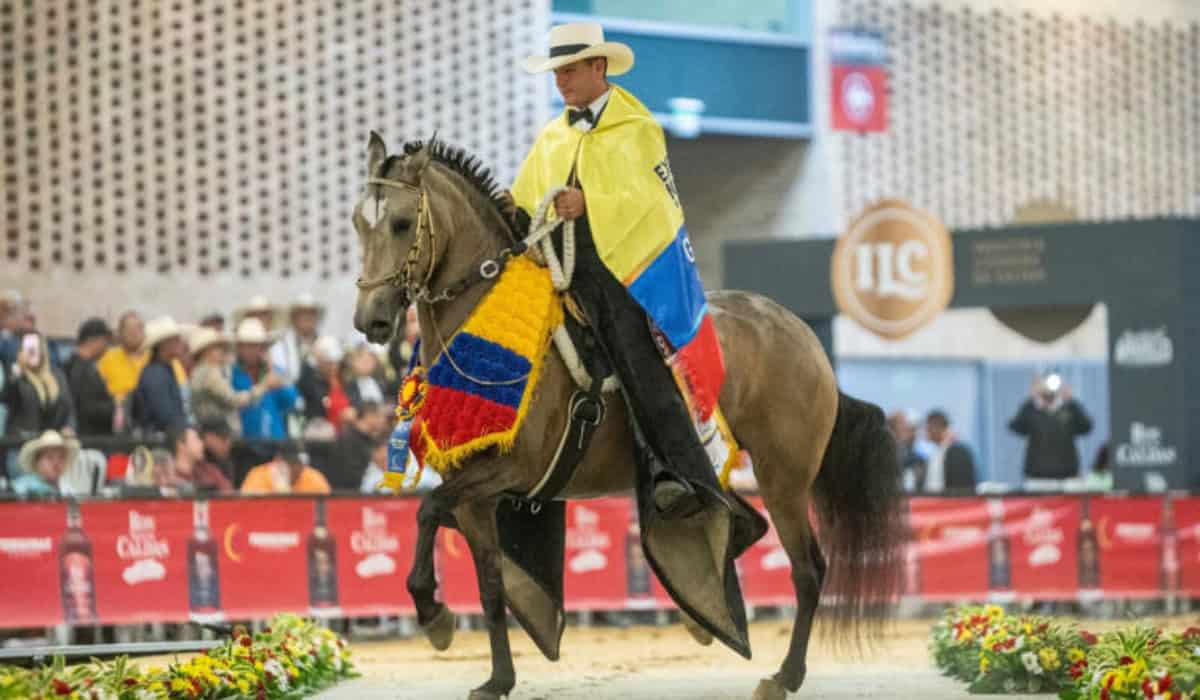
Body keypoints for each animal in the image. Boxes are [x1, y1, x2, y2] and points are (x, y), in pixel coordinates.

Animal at [352, 133, 904, 700]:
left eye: (401, 223)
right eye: (357, 222)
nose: (371, 319)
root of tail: (800, 334)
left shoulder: (511, 470)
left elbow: (427, 510)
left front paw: (433, 615)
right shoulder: (474, 488)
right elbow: (486, 579)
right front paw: (496, 676)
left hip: (784, 477)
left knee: (807, 568)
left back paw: (784, 674)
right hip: (716, 471)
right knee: (745, 524)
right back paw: (701, 618)